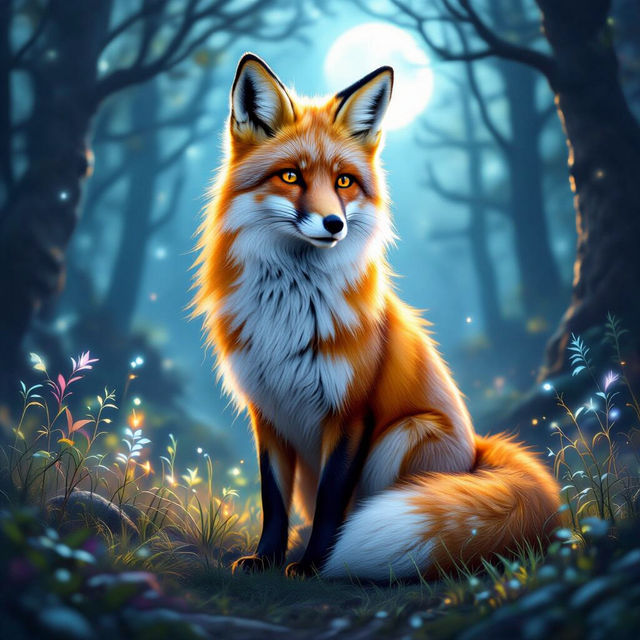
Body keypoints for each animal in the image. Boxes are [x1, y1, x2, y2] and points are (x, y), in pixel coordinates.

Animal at [192, 53, 560, 581]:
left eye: (343, 181)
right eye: (291, 176)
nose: (334, 224)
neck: (289, 311)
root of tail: (477, 452)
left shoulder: (351, 412)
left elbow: (331, 502)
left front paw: (315, 566)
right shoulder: (268, 411)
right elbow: (273, 499)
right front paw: (266, 559)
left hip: (406, 434)